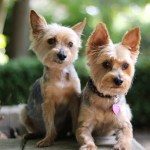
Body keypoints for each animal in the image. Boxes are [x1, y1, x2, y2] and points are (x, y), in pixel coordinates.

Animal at [19, 9, 85, 147]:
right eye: (51, 41)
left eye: (70, 44)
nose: (62, 55)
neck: (59, 73)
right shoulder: (48, 103)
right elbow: (50, 124)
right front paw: (48, 139)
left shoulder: (74, 99)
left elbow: (75, 117)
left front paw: (76, 134)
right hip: (22, 111)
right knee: (37, 129)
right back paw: (32, 134)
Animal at [76, 22, 141, 150]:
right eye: (106, 64)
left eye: (125, 65)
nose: (119, 80)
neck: (105, 97)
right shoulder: (84, 124)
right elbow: (84, 135)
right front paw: (89, 146)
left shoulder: (123, 123)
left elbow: (126, 134)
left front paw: (122, 145)